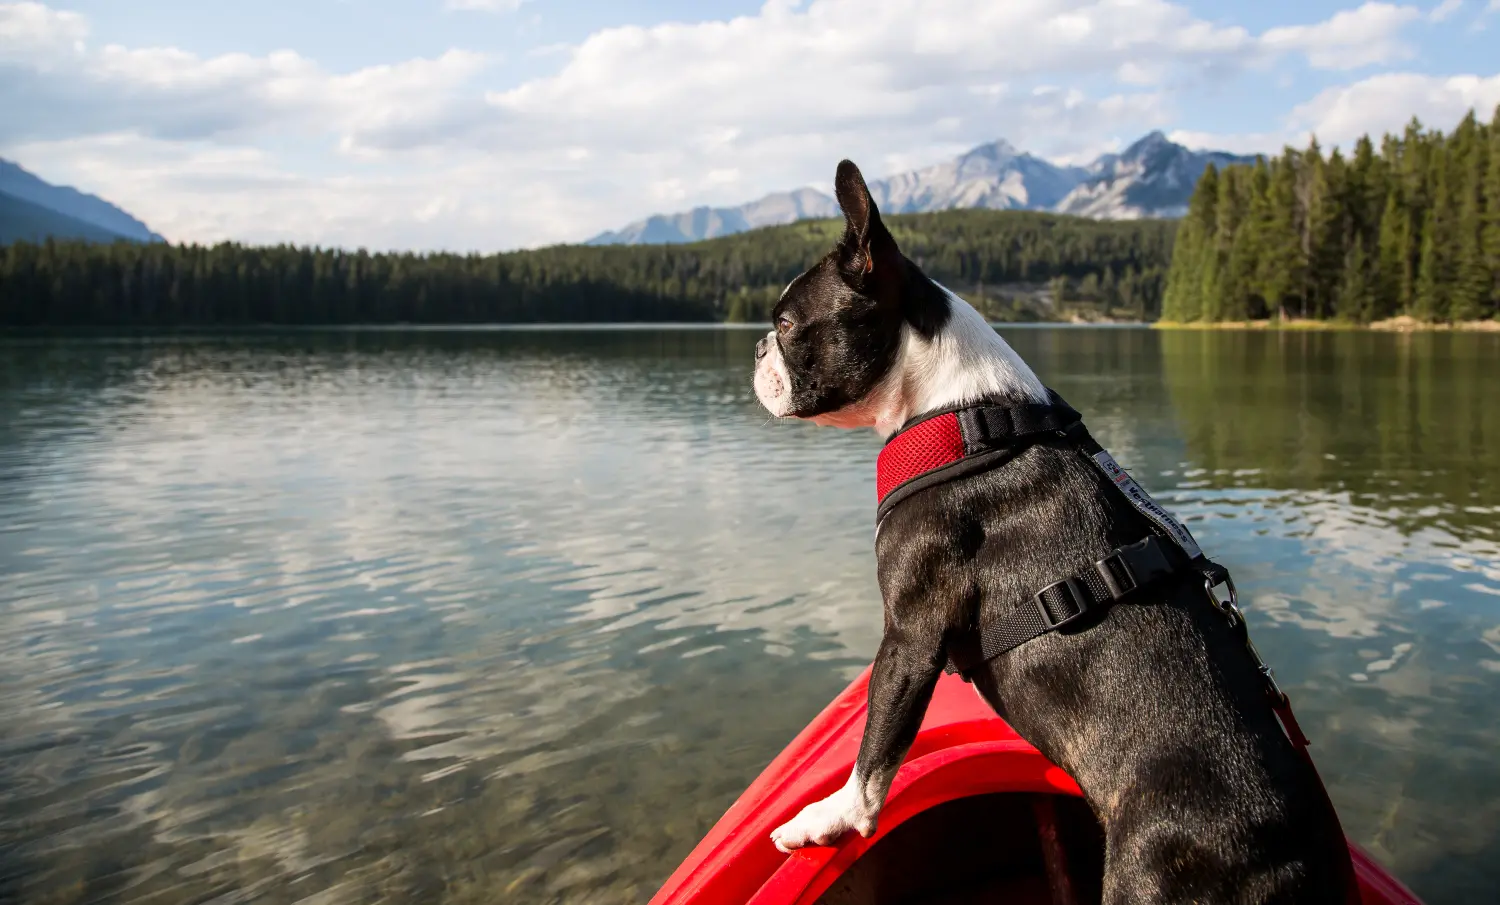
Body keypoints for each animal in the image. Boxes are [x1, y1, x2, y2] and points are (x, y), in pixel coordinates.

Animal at [756, 159, 1356, 900]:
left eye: (787, 323)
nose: (756, 348)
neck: (961, 409)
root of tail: (1295, 859)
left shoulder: (910, 636)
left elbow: (875, 752)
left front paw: (829, 817)